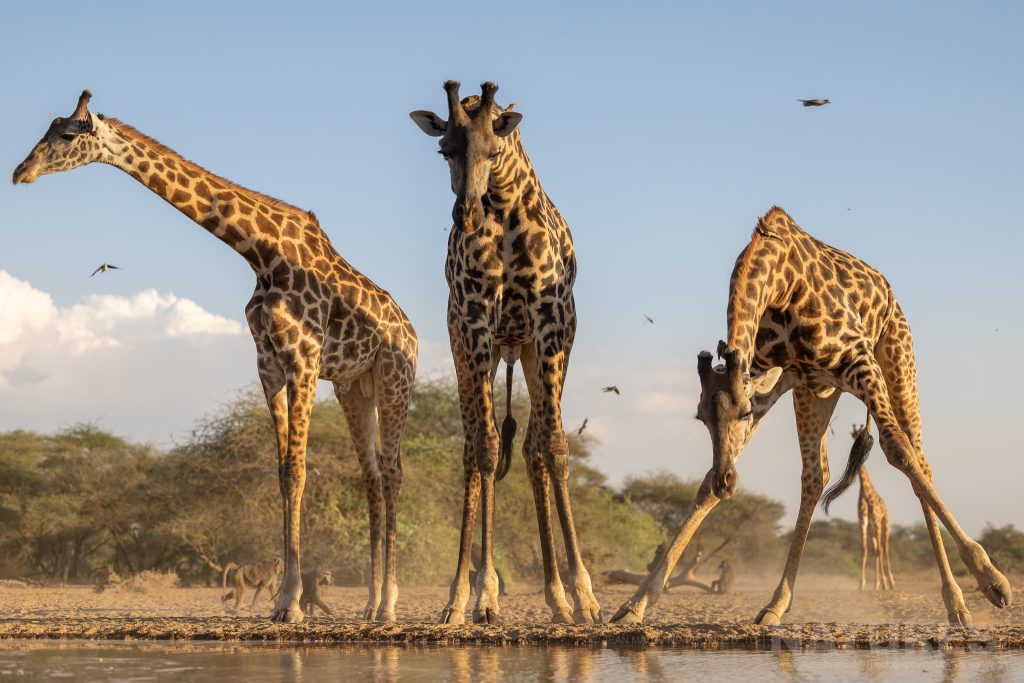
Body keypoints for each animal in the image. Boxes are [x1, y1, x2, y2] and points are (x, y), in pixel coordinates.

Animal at [13, 90, 418, 624]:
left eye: (65, 135)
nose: (20, 172)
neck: (261, 253)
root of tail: (413, 333)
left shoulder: (304, 361)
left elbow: (299, 470)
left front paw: (291, 604)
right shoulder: (268, 365)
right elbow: (283, 473)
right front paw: (284, 600)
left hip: (395, 380)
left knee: (392, 473)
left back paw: (389, 605)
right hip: (355, 387)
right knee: (370, 476)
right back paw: (370, 604)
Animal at [410, 81, 601, 624]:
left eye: (493, 151)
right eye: (444, 150)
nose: (465, 215)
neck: (503, 206)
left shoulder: (549, 320)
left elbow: (555, 447)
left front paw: (585, 597)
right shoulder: (475, 321)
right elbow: (487, 448)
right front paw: (479, 596)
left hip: (538, 350)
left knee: (535, 448)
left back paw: (558, 597)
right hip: (474, 347)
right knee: (475, 448)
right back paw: (467, 595)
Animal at [611, 206, 1011, 626]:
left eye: (743, 412)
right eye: (700, 417)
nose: (727, 482)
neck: (778, 282)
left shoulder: (859, 361)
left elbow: (898, 451)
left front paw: (993, 581)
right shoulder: (775, 378)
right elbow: (704, 486)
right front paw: (635, 603)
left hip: (897, 359)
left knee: (919, 459)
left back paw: (958, 602)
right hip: (816, 390)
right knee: (815, 477)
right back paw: (775, 603)